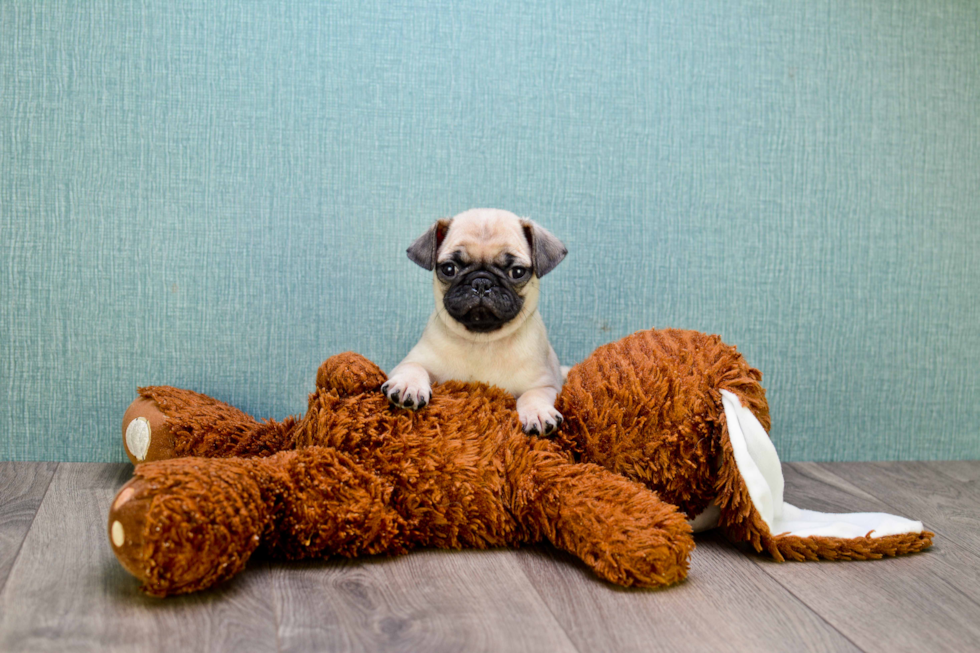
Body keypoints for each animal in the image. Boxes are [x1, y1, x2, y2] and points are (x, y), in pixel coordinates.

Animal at [380, 206, 568, 436]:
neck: (482, 340)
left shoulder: (547, 384)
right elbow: (413, 368)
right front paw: (408, 385)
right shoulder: (411, 361)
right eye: (449, 269)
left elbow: (533, 394)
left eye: (517, 272)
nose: (481, 282)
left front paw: (538, 412)